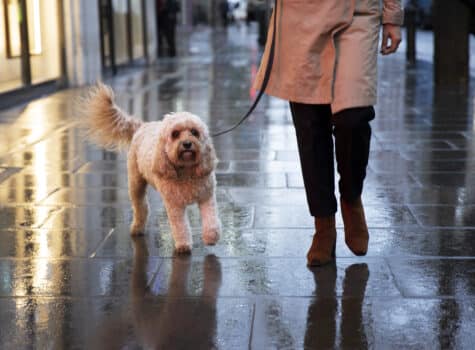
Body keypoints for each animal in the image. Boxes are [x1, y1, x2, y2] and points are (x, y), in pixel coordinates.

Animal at [82, 82, 221, 252]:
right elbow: (180, 227)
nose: (187, 144)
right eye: (175, 134)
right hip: (135, 184)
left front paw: (211, 237)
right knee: (141, 207)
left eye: (194, 132)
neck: (187, 170)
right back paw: (137, 228)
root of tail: (142, 126)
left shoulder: (207, 197)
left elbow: (211, 220)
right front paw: (183, 245)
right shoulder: (174, 205)